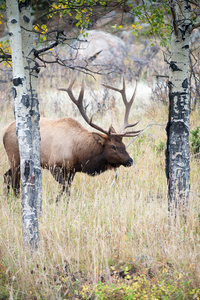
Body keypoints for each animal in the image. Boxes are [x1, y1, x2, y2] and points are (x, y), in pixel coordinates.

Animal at [2, 77, 141, 199]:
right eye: (112, 146)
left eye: (124, 145)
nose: (130, 160)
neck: (78, 154)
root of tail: (5, 132)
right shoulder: (54, 165)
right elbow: (65, 188)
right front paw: (58, 202)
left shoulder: (72, 170)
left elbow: (67, 189)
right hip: (15, 158)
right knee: (15, 182)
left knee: (6, 176)